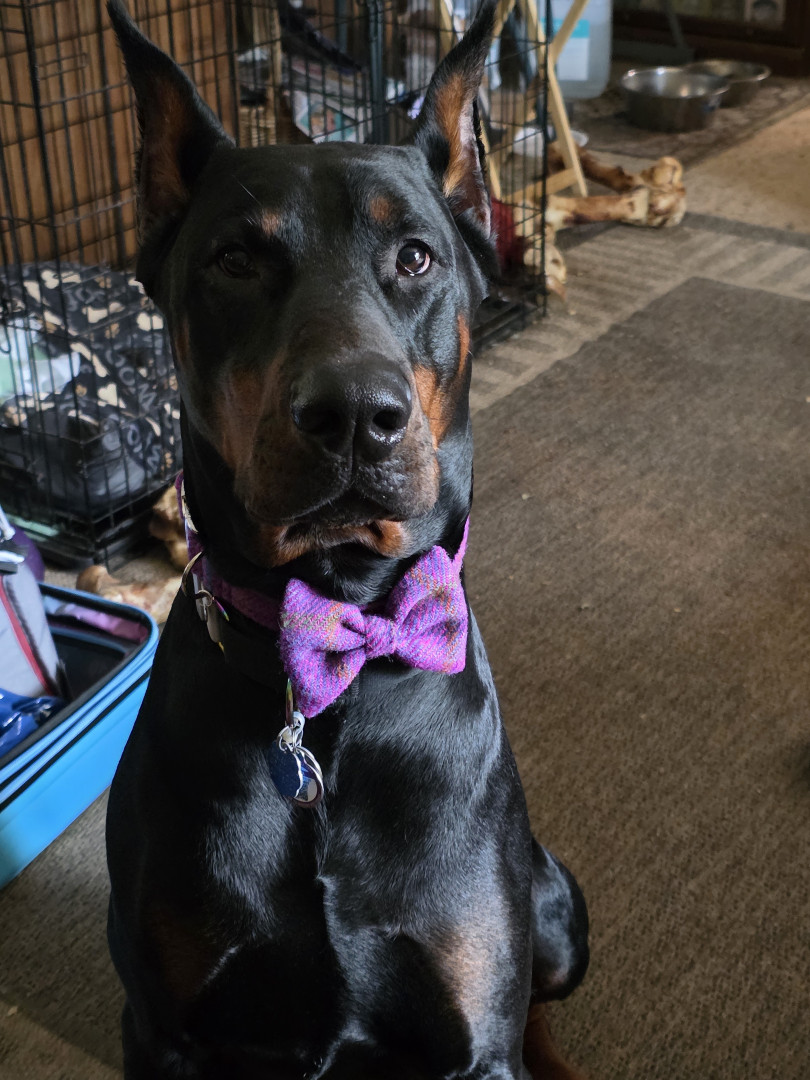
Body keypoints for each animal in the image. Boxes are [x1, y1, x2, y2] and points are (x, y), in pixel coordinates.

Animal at [105, 3, 590, 1077]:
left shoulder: (474, 1033)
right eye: (235, 259)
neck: (342, 637)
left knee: (540, 998)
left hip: (558, 907)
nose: (356, 415)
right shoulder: (165, 1031)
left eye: (416, 256)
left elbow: (500, 1017)